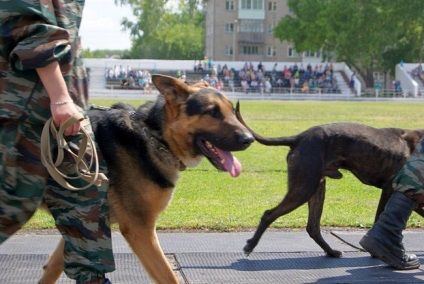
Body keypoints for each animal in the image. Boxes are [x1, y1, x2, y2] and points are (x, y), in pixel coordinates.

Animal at [39, 74, 253, 282]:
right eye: (213, 112)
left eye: (233, 111)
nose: (249, 139)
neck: (154, 138)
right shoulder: (140, 230)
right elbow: (168, 276)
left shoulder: (81, 224)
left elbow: (54, 267)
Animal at [235, 102, 424, 258]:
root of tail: (300, 137)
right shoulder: (392, 189)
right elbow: (380, 216)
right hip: (303, 188)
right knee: (269, 214)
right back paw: (251, 245)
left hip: (316, 189)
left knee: (312, 227)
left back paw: (331, 251)